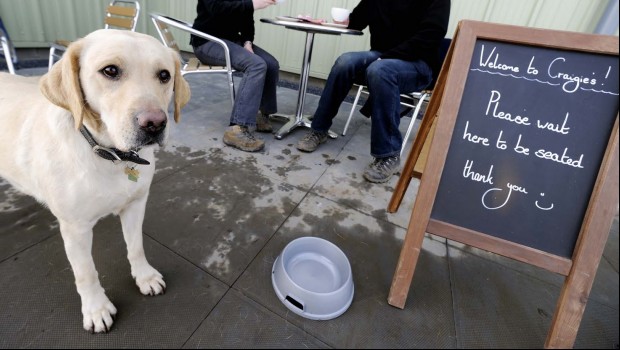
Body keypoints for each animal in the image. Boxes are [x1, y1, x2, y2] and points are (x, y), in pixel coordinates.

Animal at [0, 29, 190, 330]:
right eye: (110, 70)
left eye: (164, 75)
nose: (155, 124)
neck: (111, 156)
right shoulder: (75, 229)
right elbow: (86, 272)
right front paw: (96, 308)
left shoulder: (136, 205)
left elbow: (136, 247)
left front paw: (144, 276)